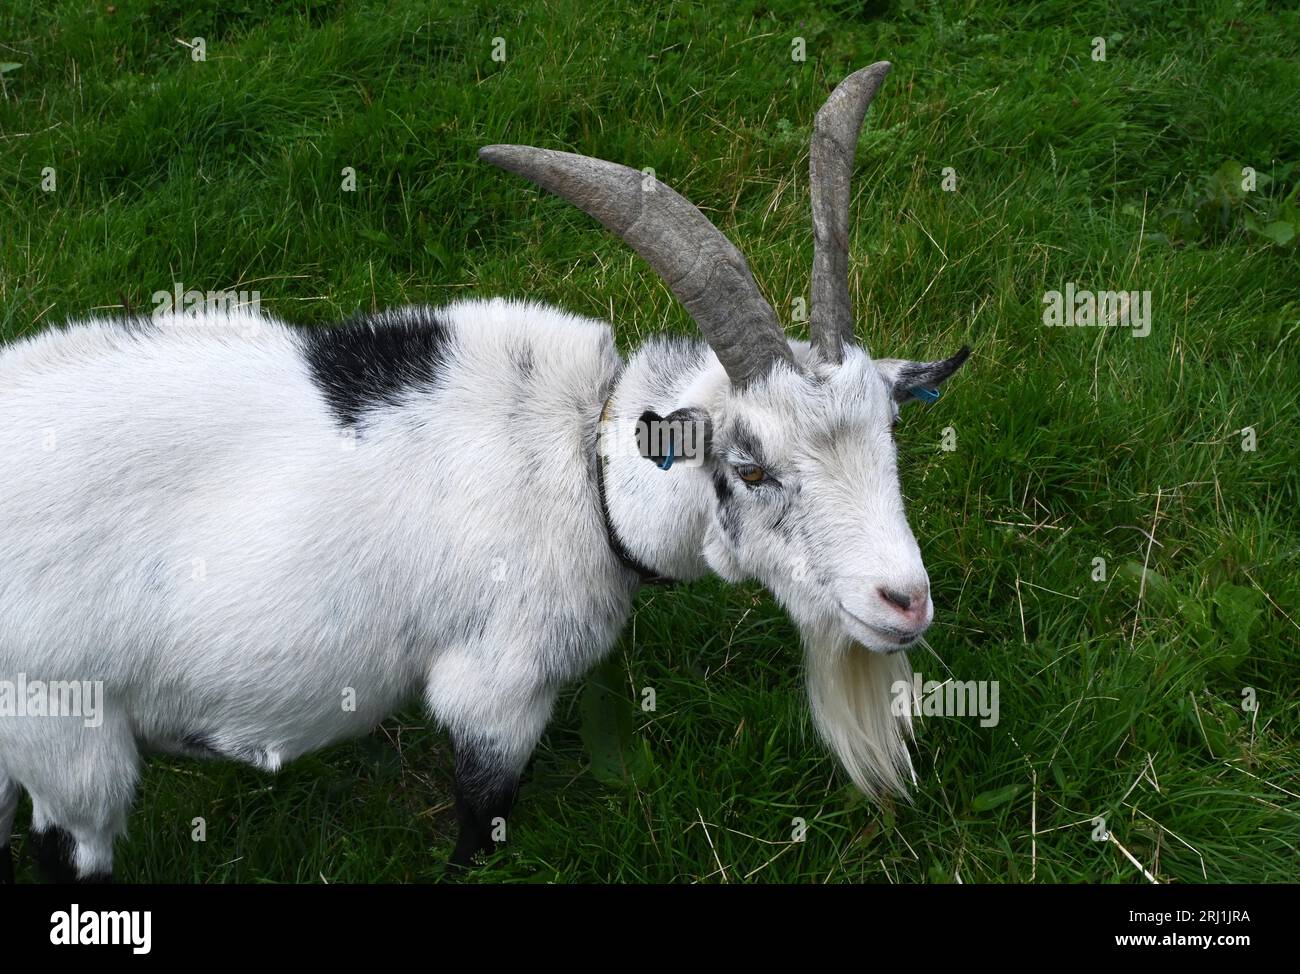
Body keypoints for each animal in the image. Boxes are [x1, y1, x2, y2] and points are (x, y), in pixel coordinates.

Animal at [0, 62, 967, 879]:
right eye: (750, 467)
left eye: (889, 430)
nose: (904, 602)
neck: (582, 467)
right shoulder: (497, 688)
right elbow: (482, 815)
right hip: (66, 730)